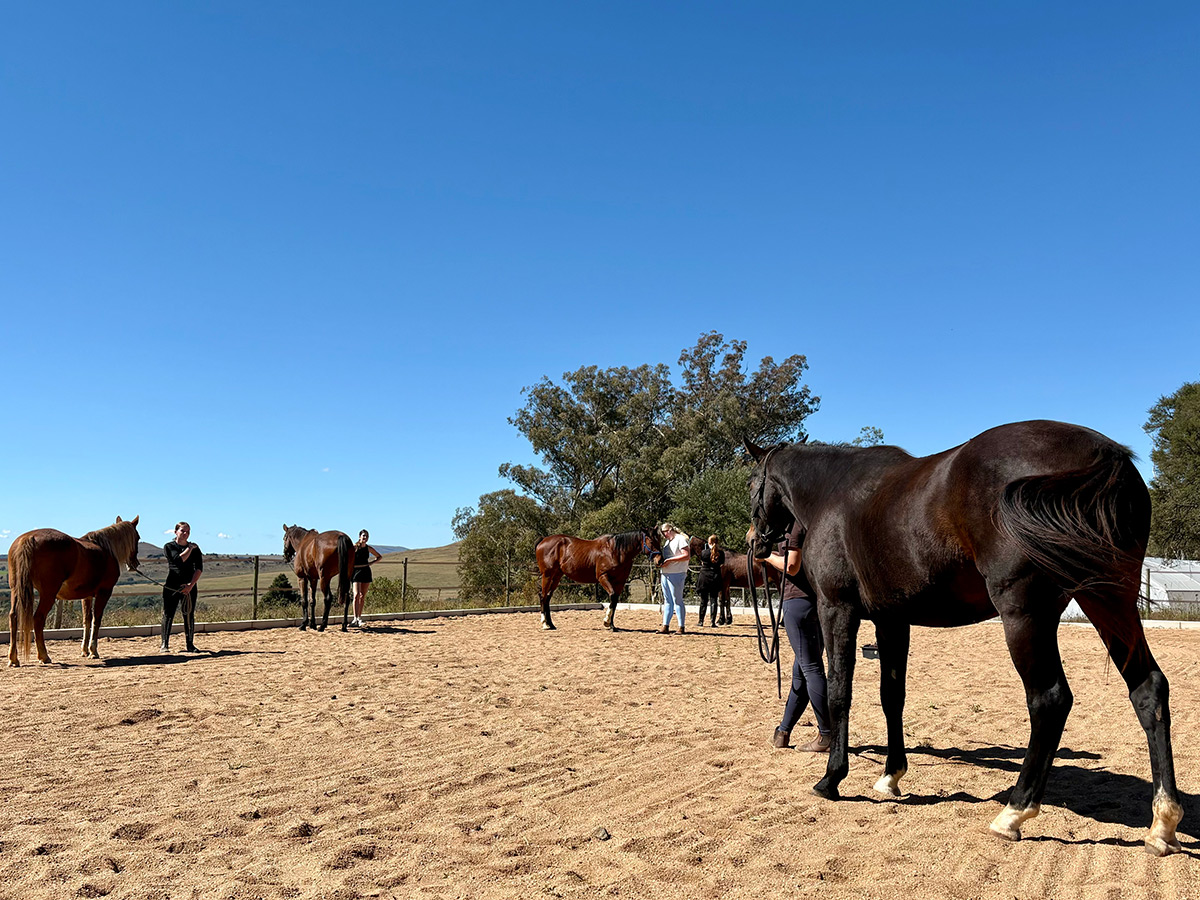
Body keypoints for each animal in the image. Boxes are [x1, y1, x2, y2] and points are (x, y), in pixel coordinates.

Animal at [7, 516, 141, 666]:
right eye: (138, 537)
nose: (135, 563)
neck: (107, 550)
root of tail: (28, 538)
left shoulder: (87, 596)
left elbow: (87, 620)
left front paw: (85, 651)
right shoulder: (104, 592)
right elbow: (96, 620)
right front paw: (93, 651)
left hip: (16, 590)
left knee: (13, 617)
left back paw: (13, 659)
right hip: (48, 594)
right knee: (38, 618)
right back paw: (44, 656)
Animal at [745, 421, 1182, 856]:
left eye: (751, 482)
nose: (754, 541)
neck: (833, 492)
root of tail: (1103, 455)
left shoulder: (837, 609)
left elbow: (839, 692)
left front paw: (831, 778)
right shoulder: (892, 620)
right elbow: (892, 697)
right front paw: (890, 776)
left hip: (1026, 614)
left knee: (1050, 700)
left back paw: (1014, 813)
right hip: (1109, 602)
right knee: (1148, 689)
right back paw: (1162, 824)